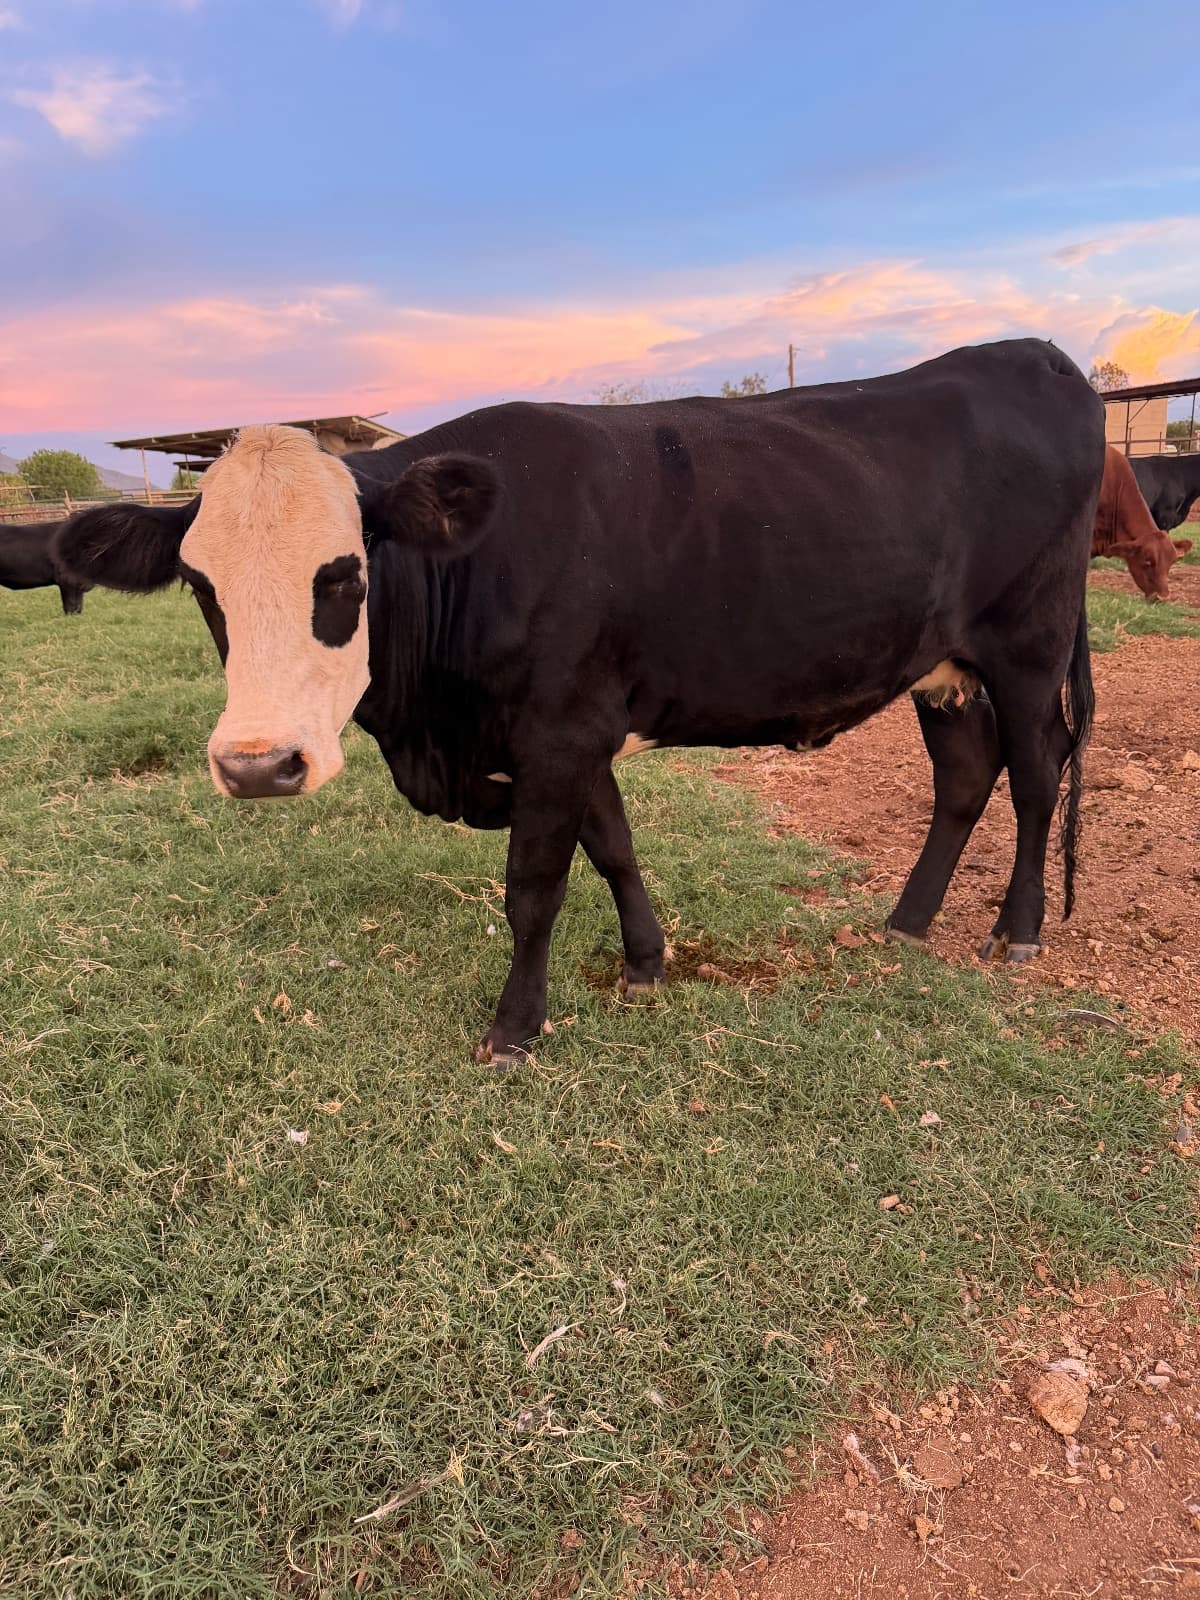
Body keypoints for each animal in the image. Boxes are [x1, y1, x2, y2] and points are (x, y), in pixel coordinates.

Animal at [54, 338, 1103, 1063]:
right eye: (201, 585)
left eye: (343, 574)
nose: (258, 766)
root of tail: (1036, 355)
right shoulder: (576, 732)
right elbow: (614, 847)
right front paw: (645, 963)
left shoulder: (558, 732)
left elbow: (534, 887)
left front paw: (515, 1028)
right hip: (943, 667)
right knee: (966, 775)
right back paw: (908, 921)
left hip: (1028, 646)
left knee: (1037, 772)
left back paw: (1016, 930)